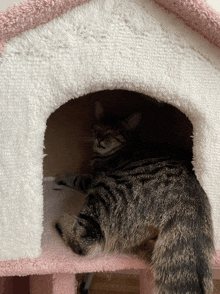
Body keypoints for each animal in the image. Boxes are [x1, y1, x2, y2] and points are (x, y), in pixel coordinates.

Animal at [55, 101, 215, 294]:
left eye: (113, 132)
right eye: (97, 128)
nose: (99, 139)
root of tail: (191, 198)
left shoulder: (95, 178)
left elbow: (77, 178)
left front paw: (62, 177)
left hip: (105, 190)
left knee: (86, 241)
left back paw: (62, 221)